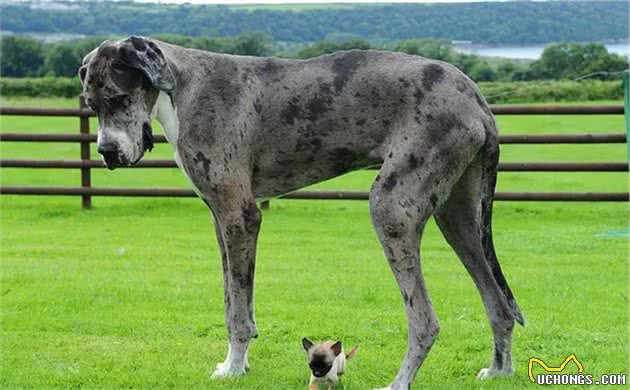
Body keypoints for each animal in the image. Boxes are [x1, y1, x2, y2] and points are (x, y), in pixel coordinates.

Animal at [79, 36, 524, 390]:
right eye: (91, 104)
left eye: (119, 98)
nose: (107, 153)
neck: (183, 88)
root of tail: (475, 96)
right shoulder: (220, 219)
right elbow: (231, 299)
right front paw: (233, 364)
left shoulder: (240, 216)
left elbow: (238, 312)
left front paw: (234, 368)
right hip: (460, 220)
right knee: (499, 304)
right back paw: (499, 372)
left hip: (392, 208)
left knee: (425, 320)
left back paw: (399, 382)